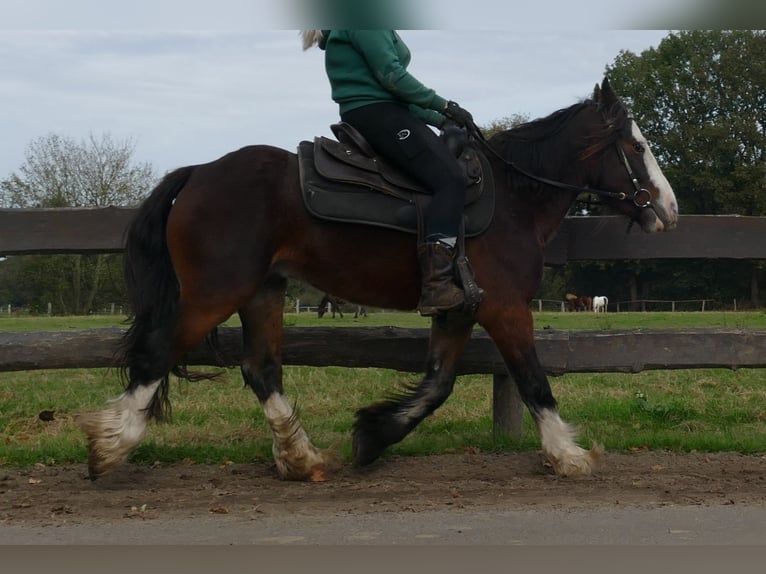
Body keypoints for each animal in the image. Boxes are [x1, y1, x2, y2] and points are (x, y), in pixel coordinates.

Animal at [76, 76, 680, 482]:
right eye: (637, 147)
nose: (669, 210)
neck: (513, 198)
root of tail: (199, 172)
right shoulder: (505, 308)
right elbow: (534, 381)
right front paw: (568, 455)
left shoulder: (458, 308)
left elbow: (437, 385)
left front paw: (373, 436)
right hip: (214, 294)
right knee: (158, 355)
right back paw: (111, 446)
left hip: (263, 292)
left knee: (262, 369)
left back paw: (300, 458)